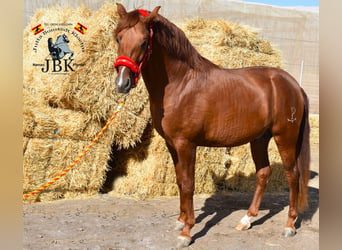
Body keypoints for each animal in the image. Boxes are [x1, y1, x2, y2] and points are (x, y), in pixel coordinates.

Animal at [113, 3, 310, 248]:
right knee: (263, 173)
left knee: (293, 176)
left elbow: (189, 184)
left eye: (143, 42)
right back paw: (247, 219)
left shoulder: (186, 144)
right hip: (259, 139)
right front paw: (180, 220)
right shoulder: (171, 144)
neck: (181, 83)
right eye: (118, 38)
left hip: (285, 137)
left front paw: (186, 232)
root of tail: (293, 84)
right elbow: (180, 182)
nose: (122, 83)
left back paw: (289, 225)